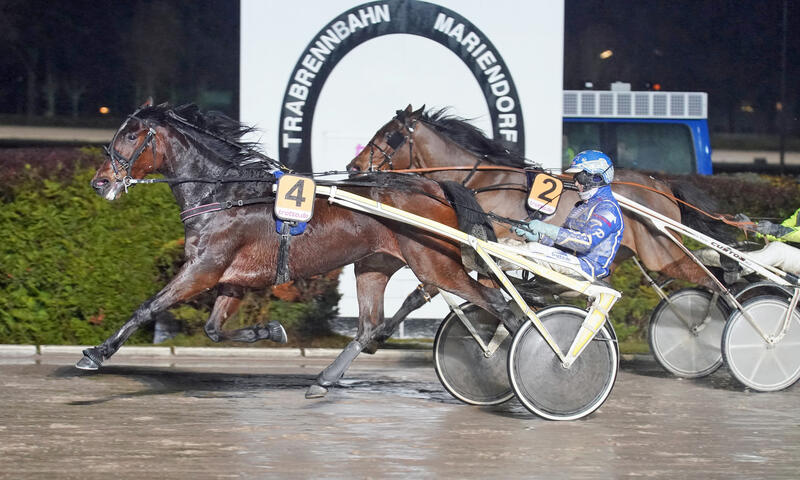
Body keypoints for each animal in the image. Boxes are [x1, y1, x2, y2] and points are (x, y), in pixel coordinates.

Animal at [81, 101, 520, 398]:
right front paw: (272, 330)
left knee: (501, 304)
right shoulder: (231, 280)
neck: (226, 194)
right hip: (374, 264)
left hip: (436, 266)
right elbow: (213, 330)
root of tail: (433, 185)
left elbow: (148, 307)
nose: (100, 182)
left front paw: (96, 353)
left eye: (132, 135)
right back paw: (323, 380)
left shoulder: (203, 268)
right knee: (368, 325)